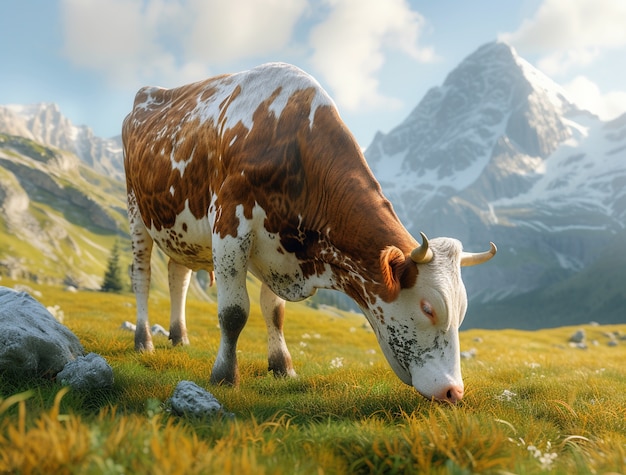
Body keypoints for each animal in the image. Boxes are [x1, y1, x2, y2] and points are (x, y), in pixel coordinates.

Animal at [120, 62, 492, 406]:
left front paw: (282, 367)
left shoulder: (277, 250)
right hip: (136, 211)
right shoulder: (229, 225)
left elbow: (275, 312)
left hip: (178, 230)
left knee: (177, 276)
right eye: (429, 308)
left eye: (462, 310)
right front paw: (224, 376)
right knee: (142, 277)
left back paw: (179, 337)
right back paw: (144, 341)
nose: (453, 391)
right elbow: (234, 313)